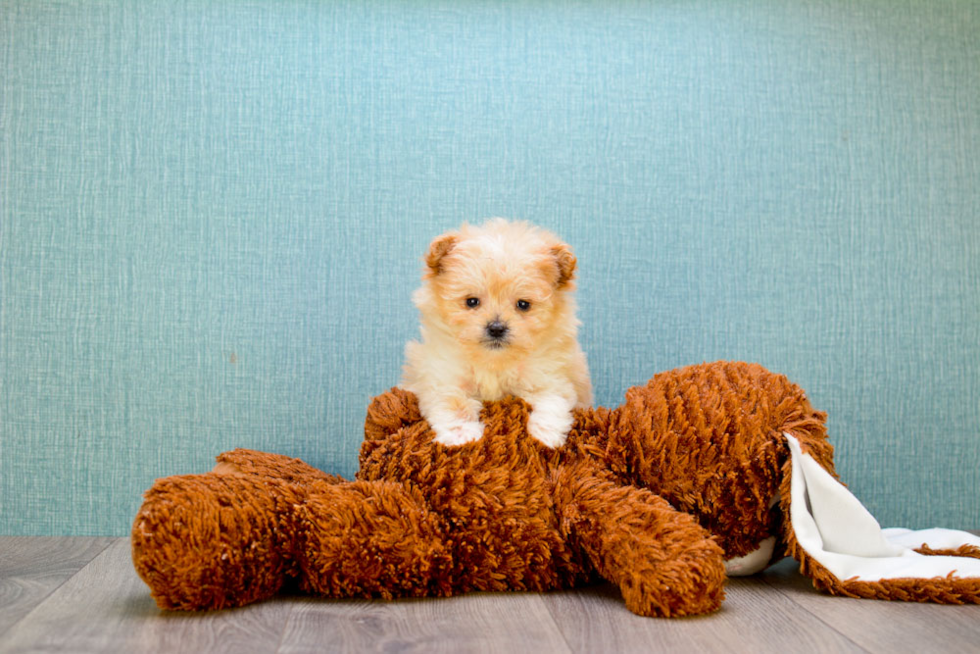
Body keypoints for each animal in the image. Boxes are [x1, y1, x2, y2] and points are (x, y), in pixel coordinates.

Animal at [398, 220, 588, 452]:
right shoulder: (444, 377)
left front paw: (544, 437)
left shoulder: (550, 377)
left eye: (523, 304)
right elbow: (453, 404)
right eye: (472, 301)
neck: (494, 362)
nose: (496, 328)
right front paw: (462, 435)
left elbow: (551, 403)